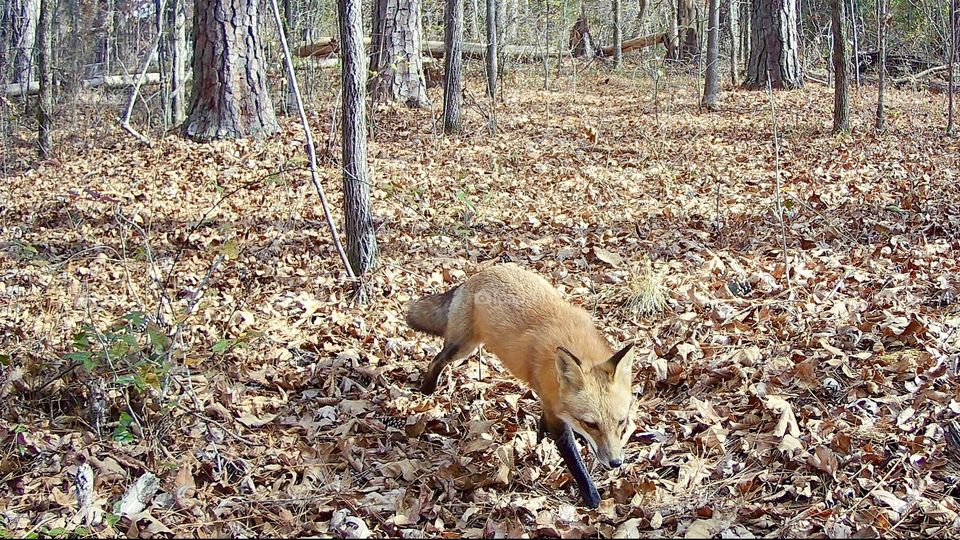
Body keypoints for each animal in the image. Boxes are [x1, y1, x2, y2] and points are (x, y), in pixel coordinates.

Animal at [406, 264, 636, 508]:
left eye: (621, 422)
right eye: (591, 424)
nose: (615, 462)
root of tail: (479, 274)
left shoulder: (550, 400)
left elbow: (545, 425)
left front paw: (541, 440)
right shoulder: (554, 412)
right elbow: (575, 461)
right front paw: (591, 496)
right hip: (463, 347)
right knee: (436, 360)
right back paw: (427, 389)